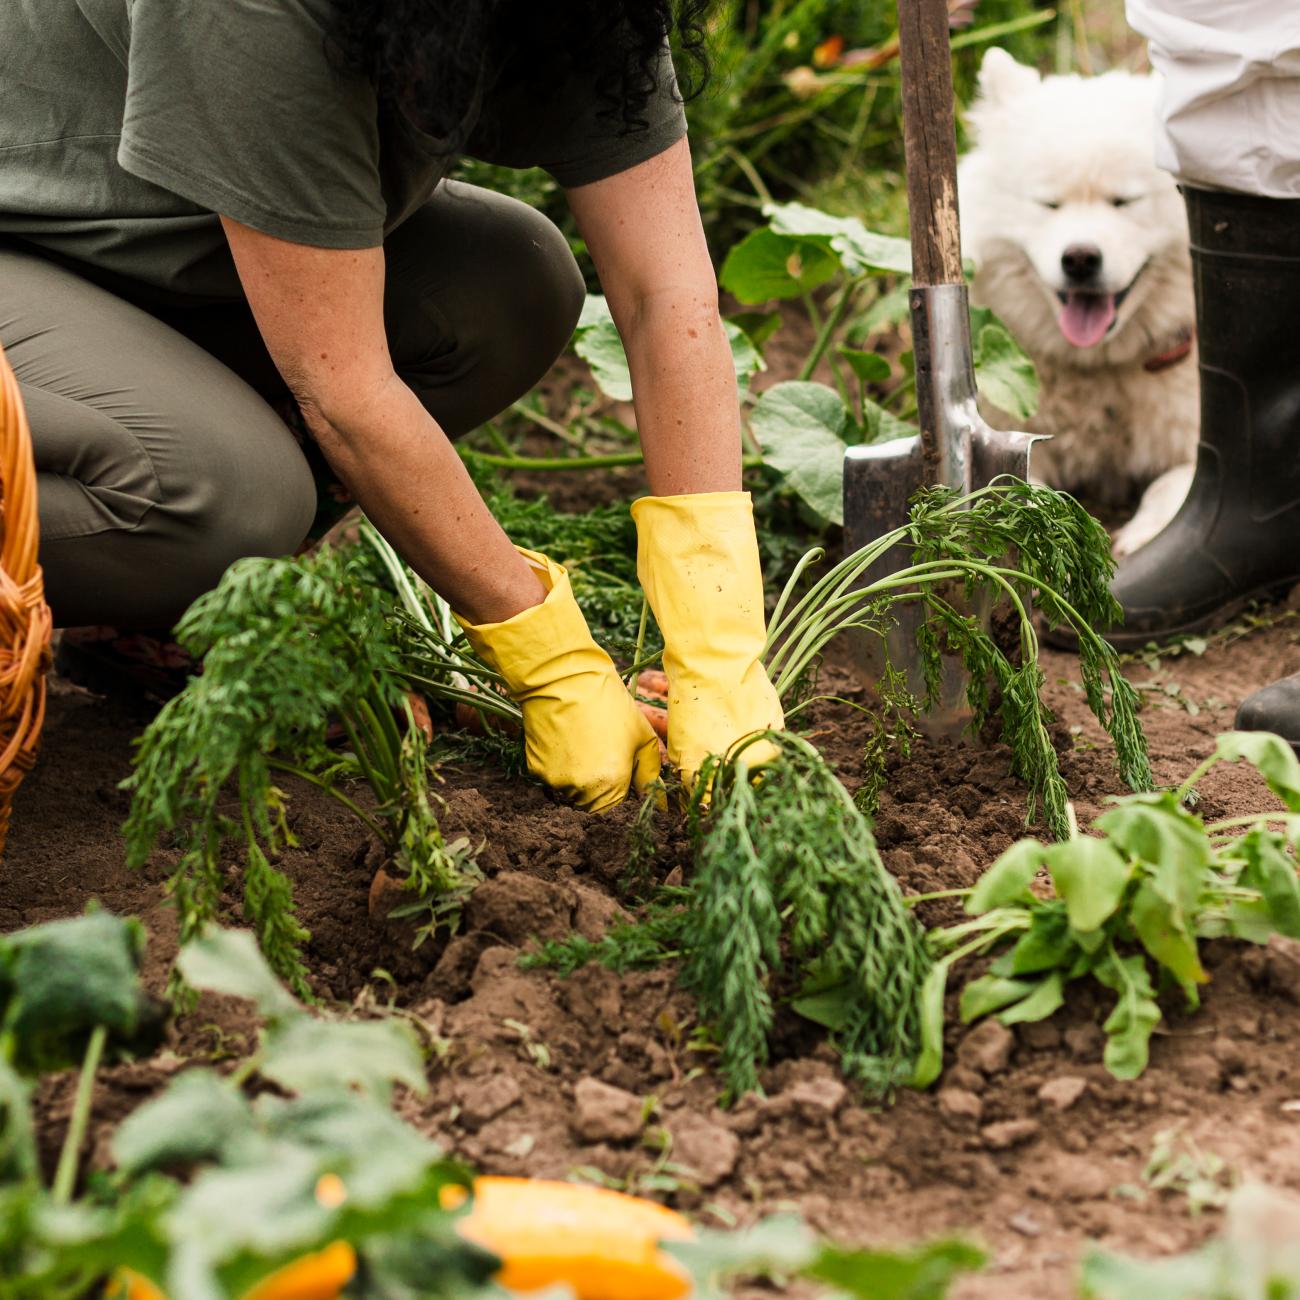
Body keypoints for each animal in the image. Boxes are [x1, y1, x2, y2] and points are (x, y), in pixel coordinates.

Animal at [961, 47, 1190, 548]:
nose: (1081, 259)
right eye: (1049, 204)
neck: (1100, 366)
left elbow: (1176, 485)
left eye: (1125, 201)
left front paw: (1145, 537)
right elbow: (1019, 489)